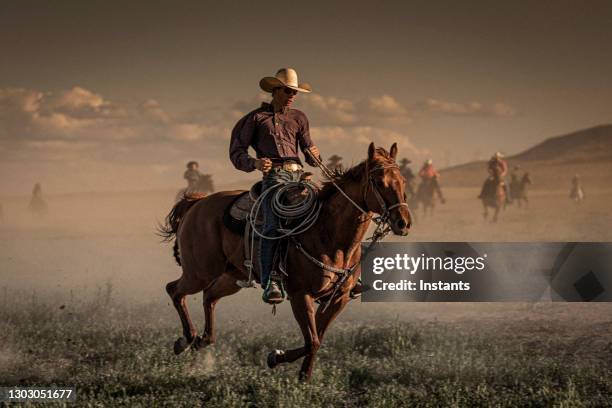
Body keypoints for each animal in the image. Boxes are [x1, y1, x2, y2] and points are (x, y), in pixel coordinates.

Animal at [159, 142, 412, 380]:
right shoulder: (301, 295)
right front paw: (290, 368)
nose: (403, 222)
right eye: (378, 182)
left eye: (402, 181)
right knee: (174, 290)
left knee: (209, 297)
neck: (327, 232)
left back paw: (202, 340)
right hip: (199, 272)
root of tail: (197, 204)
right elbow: (312, 341)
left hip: (231, 276)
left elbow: (316, 338)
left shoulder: (338, 299)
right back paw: (185, 340)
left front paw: (289, 366)